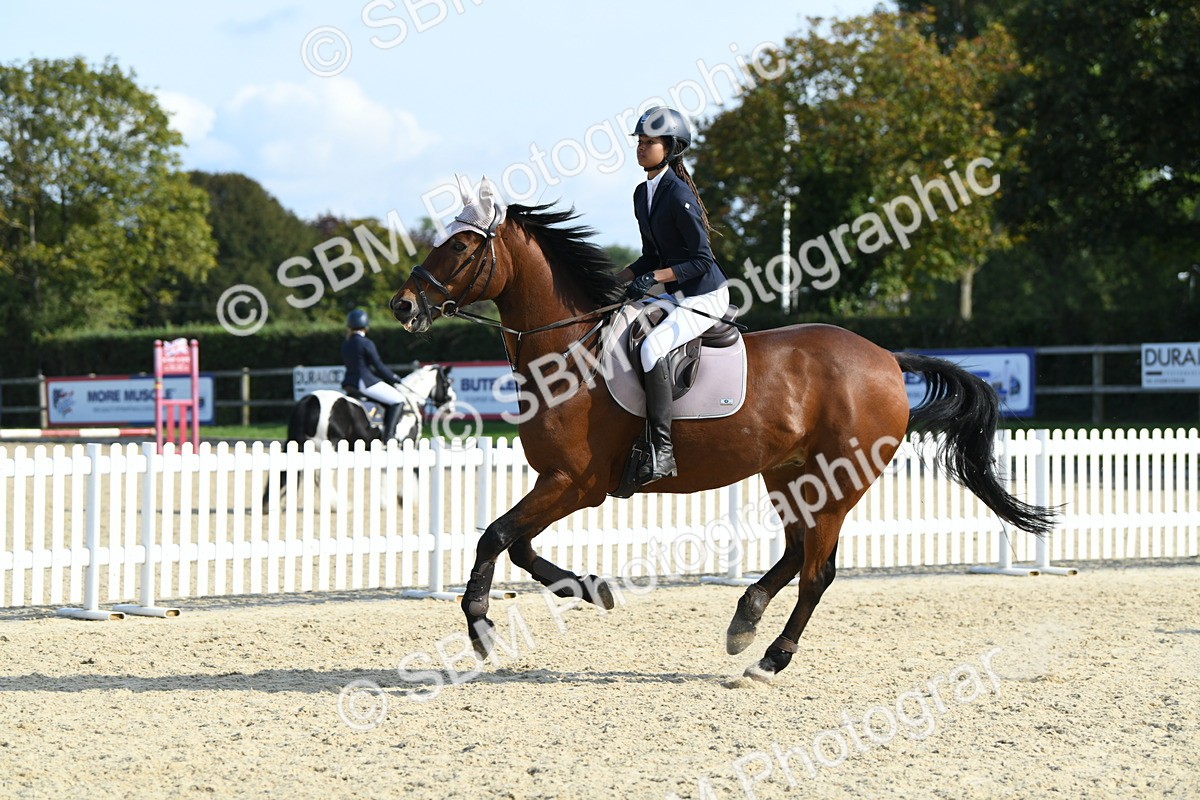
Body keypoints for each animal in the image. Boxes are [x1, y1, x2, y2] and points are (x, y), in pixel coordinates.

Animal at [261, 364, 456, 510]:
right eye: (447, 383)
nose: (451, 406)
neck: (409, 402)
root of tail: (309, 400)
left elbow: (385, 475)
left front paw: (385, 502)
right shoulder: (409, 445)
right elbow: (413, 472)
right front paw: (408, 499)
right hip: (331, 446)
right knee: (321, 476)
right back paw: (338, 505)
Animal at [388, 182, 1056, 683]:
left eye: (461, 246)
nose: (403, 305)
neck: (570, 350)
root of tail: (887, 359)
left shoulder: (576, 482)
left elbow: (496, 536)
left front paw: (480, 624)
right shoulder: (560, 483)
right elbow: (519, 546)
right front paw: (592, 589)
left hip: (839, 481)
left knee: (817, 571)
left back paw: (770, 659)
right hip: (790, 475)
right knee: (796, 552)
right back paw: (744, 622)